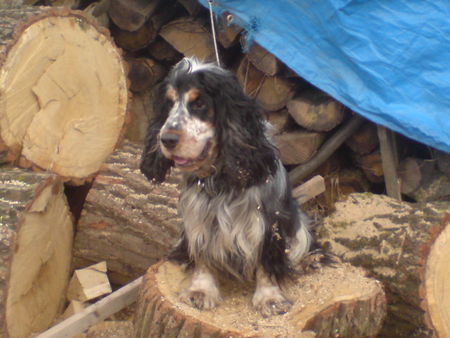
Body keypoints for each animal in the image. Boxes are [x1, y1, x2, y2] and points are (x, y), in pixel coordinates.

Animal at [139, 57, 312, 316]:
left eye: (199, 103)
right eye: (169, 103)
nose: (166, 139)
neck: (221, 179)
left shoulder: (267, 223)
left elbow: (266, 262)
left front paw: (270, 298)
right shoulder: (198, 219)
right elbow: (201, 255)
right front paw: (200, 290)